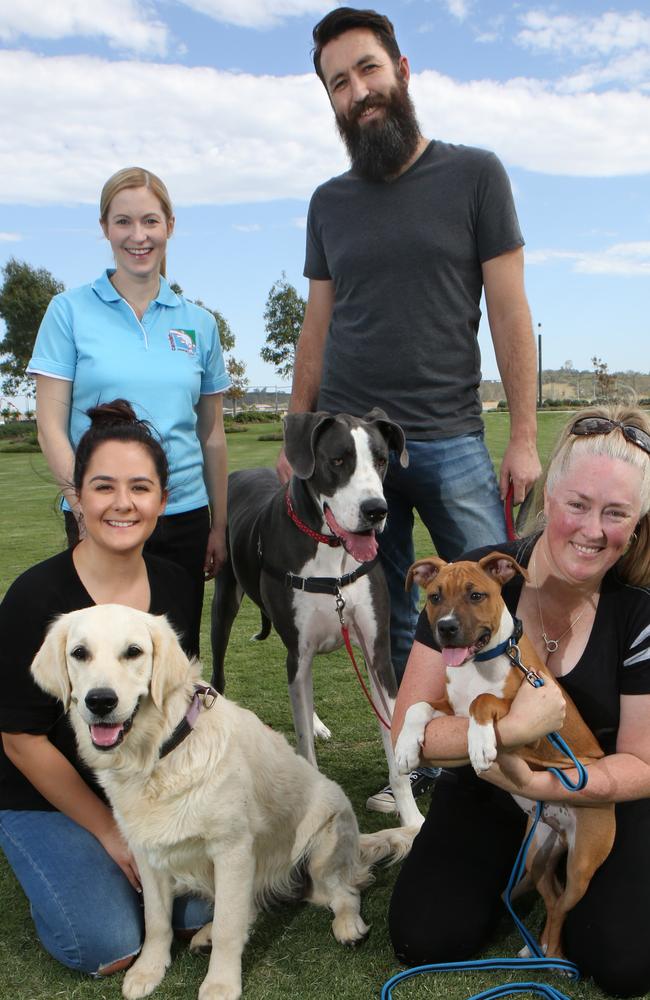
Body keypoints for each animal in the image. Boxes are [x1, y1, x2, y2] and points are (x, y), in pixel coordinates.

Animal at [394, 556, 612, 960]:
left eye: (476, 595)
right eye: (434, 597)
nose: (446, 628)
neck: (479, 663)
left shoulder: (536, 726)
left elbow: (483, 700)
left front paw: (480, 743)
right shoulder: (448, 706)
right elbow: (418, 705)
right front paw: (404, 747)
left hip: (582, 865)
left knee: (562, 907)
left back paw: (554, 957)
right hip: (536, 852)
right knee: (552, 898)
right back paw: (537, 949)